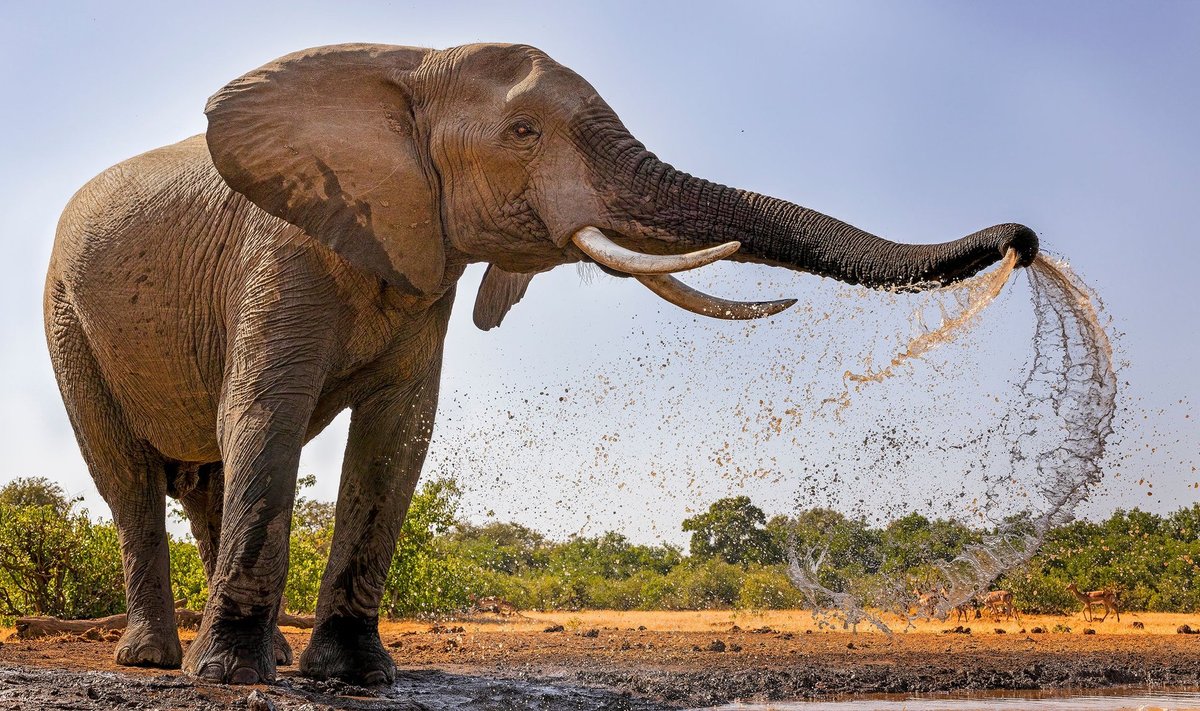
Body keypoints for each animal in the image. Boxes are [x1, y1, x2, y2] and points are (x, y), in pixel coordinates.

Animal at [44, 41, 1041, 686]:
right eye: (523, 132)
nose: (1025, 241)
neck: (410, 63)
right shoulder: (281, 249)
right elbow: (265, 416)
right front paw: (232, 680)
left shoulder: (422, 265)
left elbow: (397, 442)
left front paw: (357, 676)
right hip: (62, 315)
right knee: (130, 480)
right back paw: (160, 660)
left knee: (204, 482)